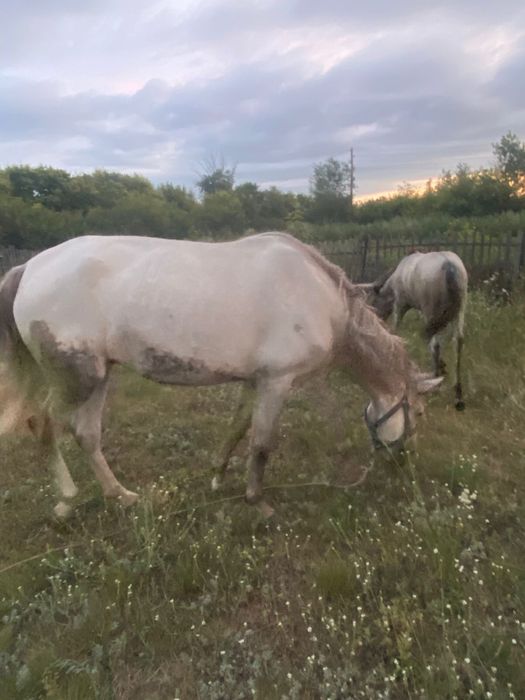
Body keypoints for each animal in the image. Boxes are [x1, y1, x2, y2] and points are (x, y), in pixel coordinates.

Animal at [0, 232, 442, 518]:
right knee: (43, 424)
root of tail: (30, 267)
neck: (320, 298)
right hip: (77, 379)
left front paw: (217, 477)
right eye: (419, 414)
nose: (402, 464)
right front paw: (257, 501)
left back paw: (122, 496)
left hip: (99, 375)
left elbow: (237, 427)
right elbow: (262, 443)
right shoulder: (277, 382)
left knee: (87, 435)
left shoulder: (255, 381)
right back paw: (66, 499)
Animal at [358, 250, 467, 410]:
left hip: (431, 310)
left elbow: (395, 331)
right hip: (459, 311)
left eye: (372, 301)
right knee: (457, 342)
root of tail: (449, 266)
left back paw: (436, 384)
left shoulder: (400, 305)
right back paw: (458, 395)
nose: (376, 320)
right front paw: (443, 367)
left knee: (435, 343)